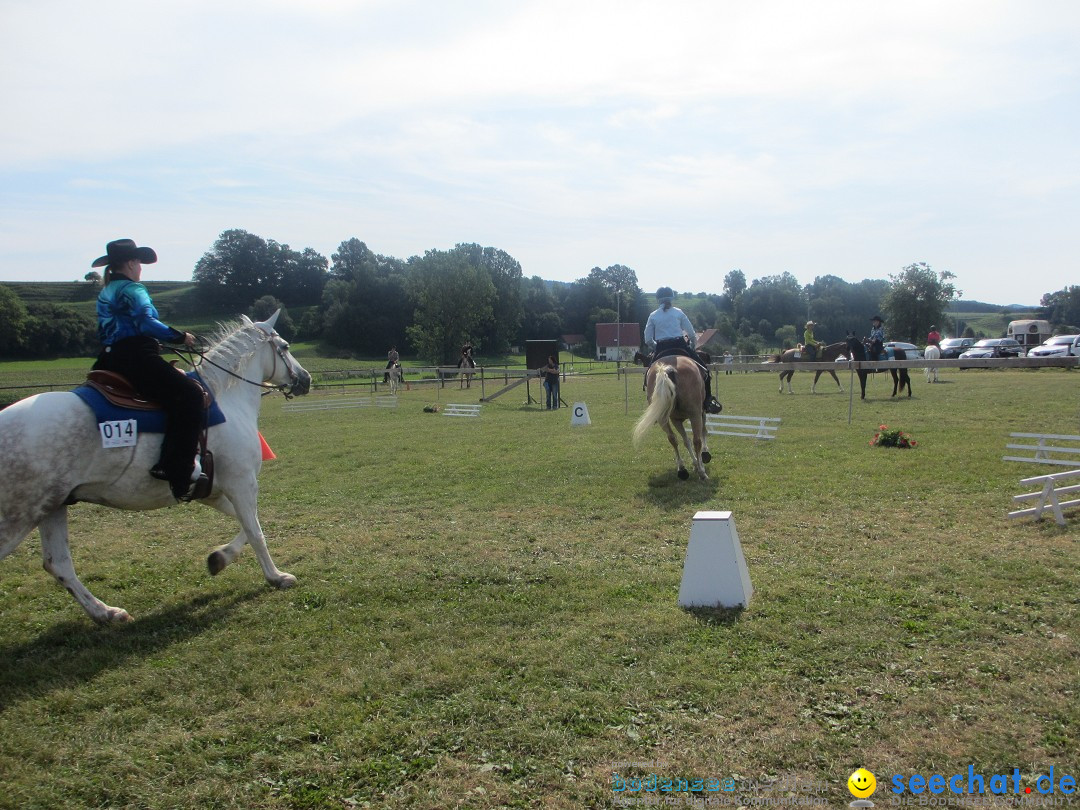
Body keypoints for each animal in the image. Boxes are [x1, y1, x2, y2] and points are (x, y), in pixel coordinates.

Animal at [0, 313, 313, 626]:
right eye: (285, 347)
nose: (306, 379)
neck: (225, 399)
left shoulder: (212, 491)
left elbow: (248, 526)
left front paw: (218, 559)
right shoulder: (241, 483)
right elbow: (255, 531)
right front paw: (276, 577)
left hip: (53, 507)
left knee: (59, 564)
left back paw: (106, 612)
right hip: (20, 516)